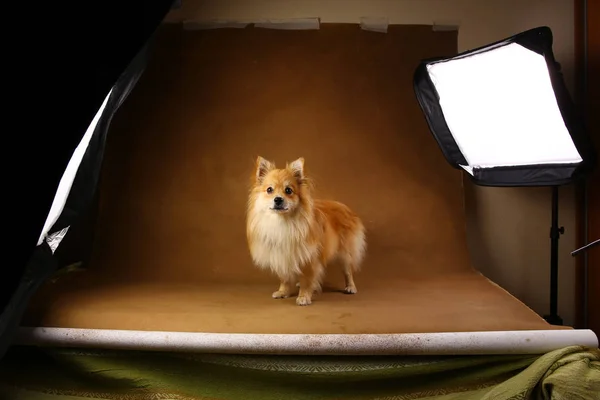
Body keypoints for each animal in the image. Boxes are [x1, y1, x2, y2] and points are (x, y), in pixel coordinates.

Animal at [245, 156, 366, 306]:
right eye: (269, 190)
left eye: (288, 190)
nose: (278, 199)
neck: (283, 222)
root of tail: (344, 207)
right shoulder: (281, 254)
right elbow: (284, 277)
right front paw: (283, 292)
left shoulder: (309, 257)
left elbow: (307, 279)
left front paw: (304, 296)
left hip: (345, 252)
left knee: (348, 270)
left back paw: (350, 287)